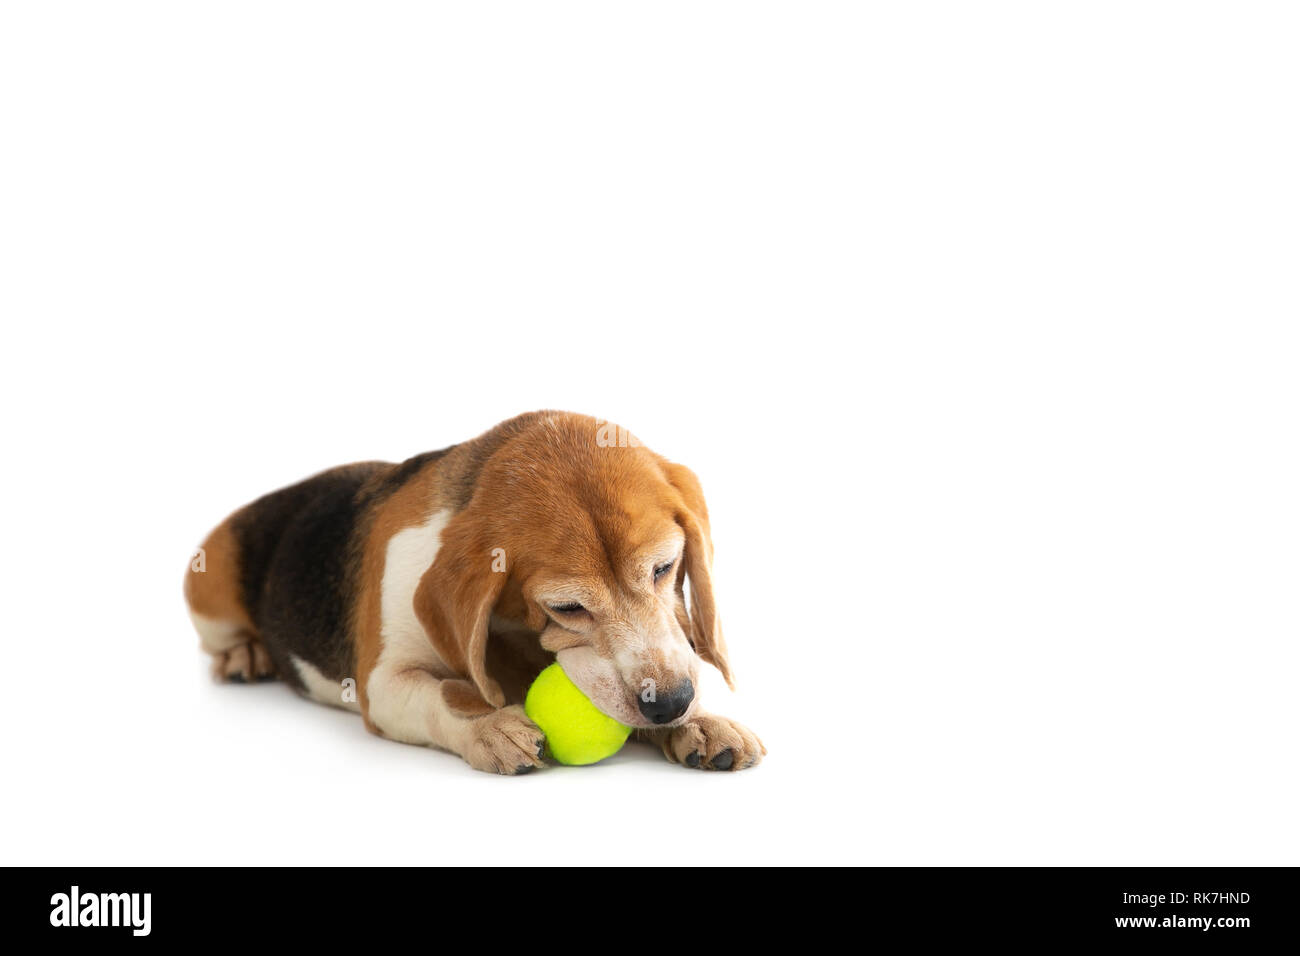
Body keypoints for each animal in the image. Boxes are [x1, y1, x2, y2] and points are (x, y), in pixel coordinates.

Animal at [183, 413, 759, 780]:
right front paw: (490, 726)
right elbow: (447, 692)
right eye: (567, 608)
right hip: (207, 584)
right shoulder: (382, 683)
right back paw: (245, 655)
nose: (671, 703)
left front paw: (701, 724)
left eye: (664, 568)